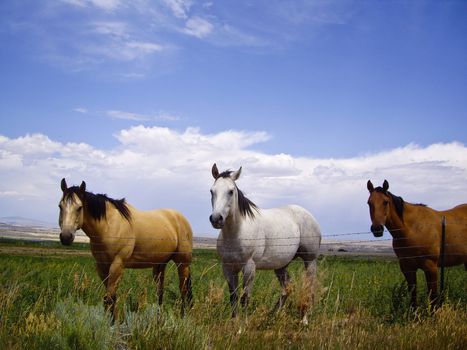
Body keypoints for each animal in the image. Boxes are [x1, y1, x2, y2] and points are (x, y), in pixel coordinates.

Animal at [59, 179, 194, 322]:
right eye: (60, 206)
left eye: (79, 207)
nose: (66, 236)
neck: (108, 226)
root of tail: (181, 218)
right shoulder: (102, 266)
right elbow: (110, 297)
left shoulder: (117, 264)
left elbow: (109, 298)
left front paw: (112, 323)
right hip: (159, 264)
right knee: (160, 292)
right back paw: (158, 318)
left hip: (182, 264)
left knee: (184, 290)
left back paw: (183, 317)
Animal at [209, 164, 322, 322]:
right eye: (212, 191)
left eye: (231, 191)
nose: (216, 219)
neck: (236, 233)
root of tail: (309, 215)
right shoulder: (228, 268)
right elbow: (233, 297)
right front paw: (234, 322)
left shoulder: (249, 267)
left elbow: (245, 298)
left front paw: (243, 325)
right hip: (281, 265)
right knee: (287, 287)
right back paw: (274, 314)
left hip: (310, 260)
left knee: (309, 288)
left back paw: (304, 320)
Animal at [368, 179, 467, 308]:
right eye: (369, 203)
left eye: (385, 202)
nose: (377, 229)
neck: (412, 229)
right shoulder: (407, 268)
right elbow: (413, 295)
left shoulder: (431, 267)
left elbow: (433, 297)